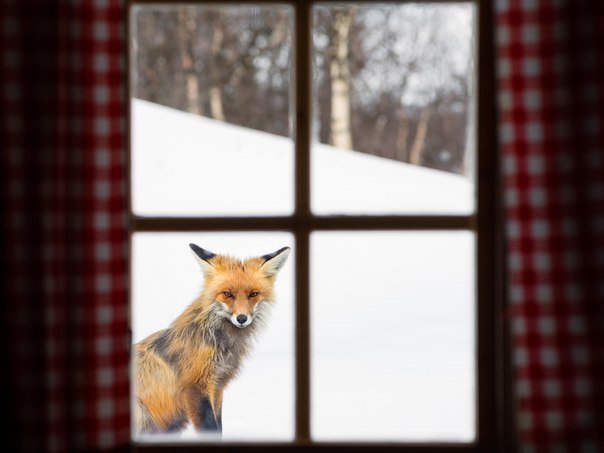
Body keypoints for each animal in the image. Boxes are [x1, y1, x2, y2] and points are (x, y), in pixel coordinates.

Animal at [134, 244, 290, 434]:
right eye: (227, 294)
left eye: (253, 294)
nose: (242, 318)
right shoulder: (196, 385)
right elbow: (210, 427)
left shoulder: (217, 386)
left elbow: (218, 426)